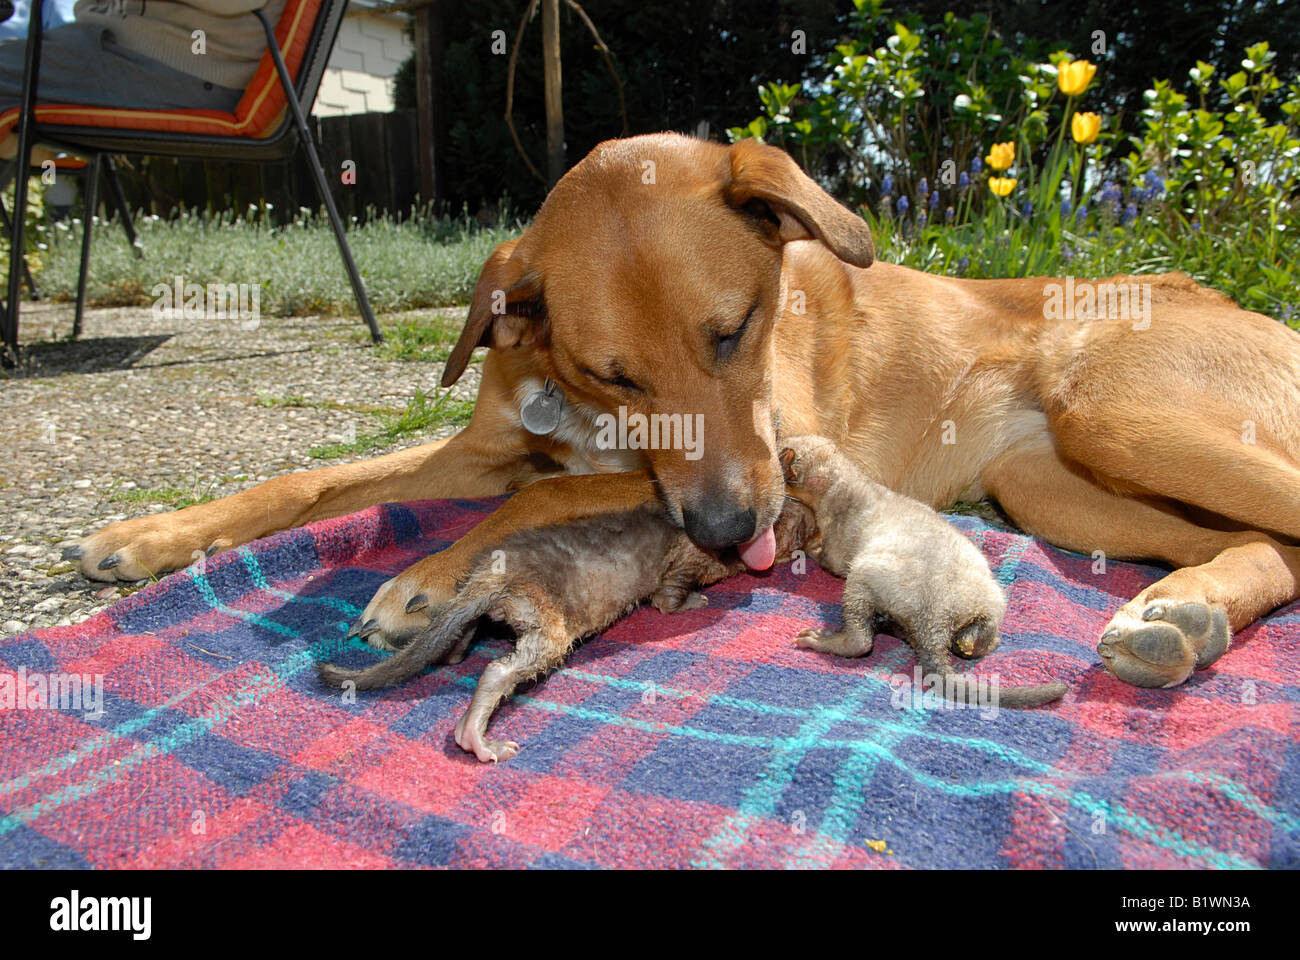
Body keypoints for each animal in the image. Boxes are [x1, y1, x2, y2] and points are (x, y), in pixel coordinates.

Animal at [68, 132, 1300, 686]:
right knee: (1269, 548)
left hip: (1111, 414)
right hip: (1055, 487)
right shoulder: (486, 448)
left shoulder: (776, 447)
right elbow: (312, 479)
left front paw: (428, 576)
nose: (730, 536)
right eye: (614, 372)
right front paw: (149, 534)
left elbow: (548, 499)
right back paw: (1183, 613)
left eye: (735, 328)